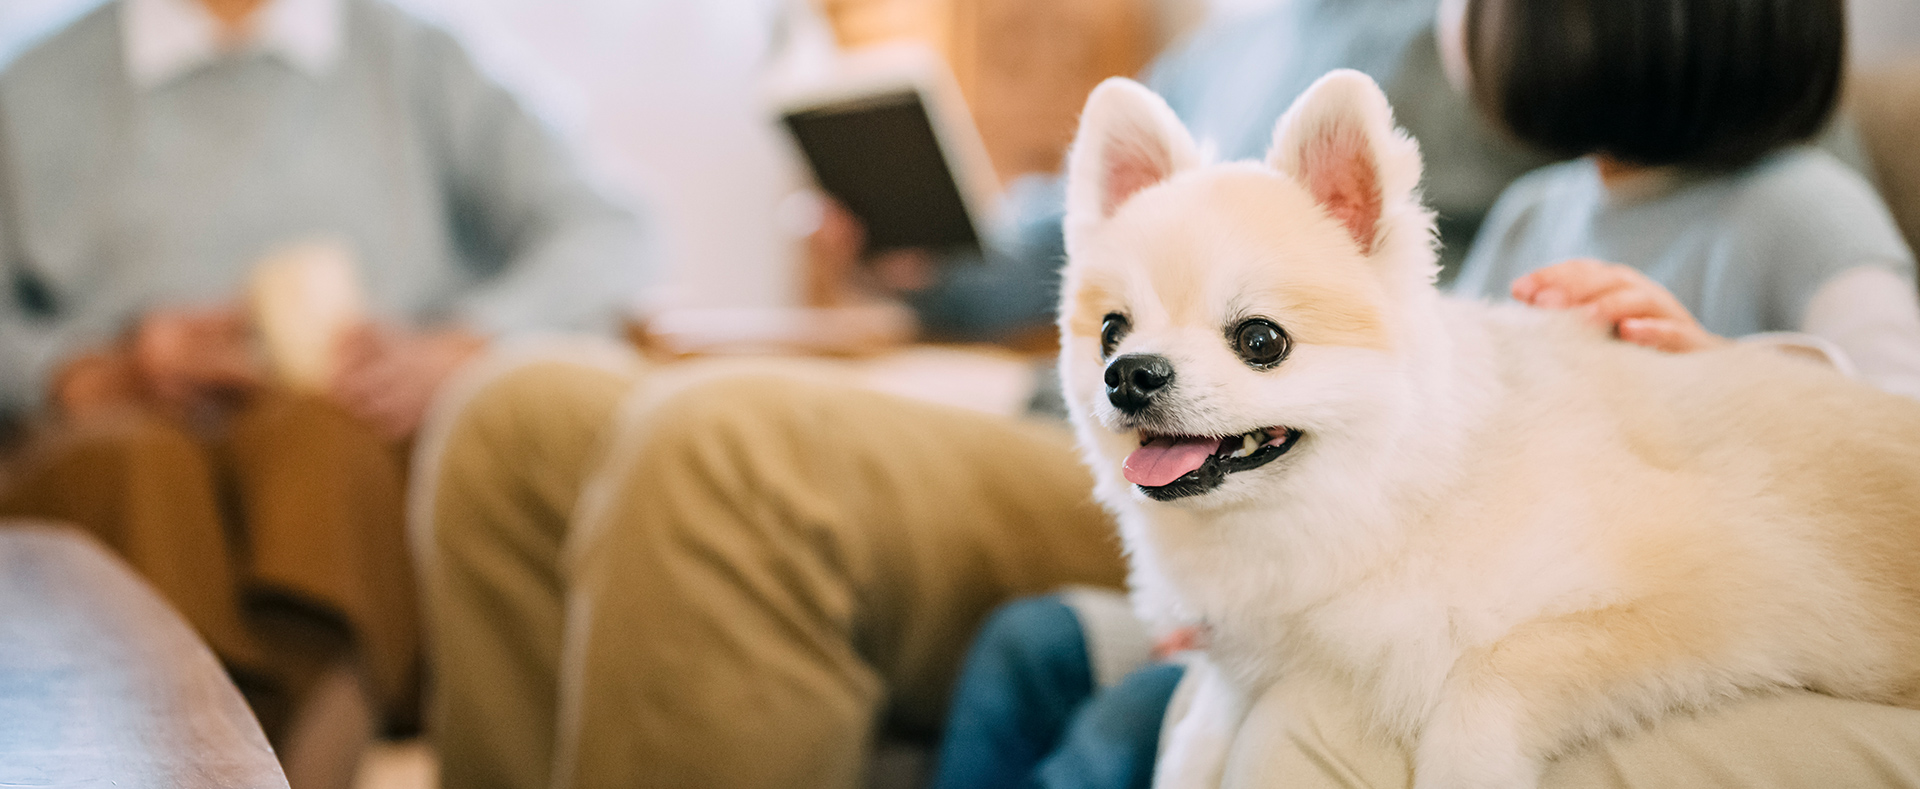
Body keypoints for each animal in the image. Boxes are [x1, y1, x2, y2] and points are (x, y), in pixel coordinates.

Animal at [1059, 69, 1920, 789]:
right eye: (1110, 331)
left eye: (1260, 340)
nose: (1129, 374)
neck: (1394, 499)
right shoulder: (1249, 651)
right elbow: (1205, 719)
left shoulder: (1734, 594)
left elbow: (1494, 670)